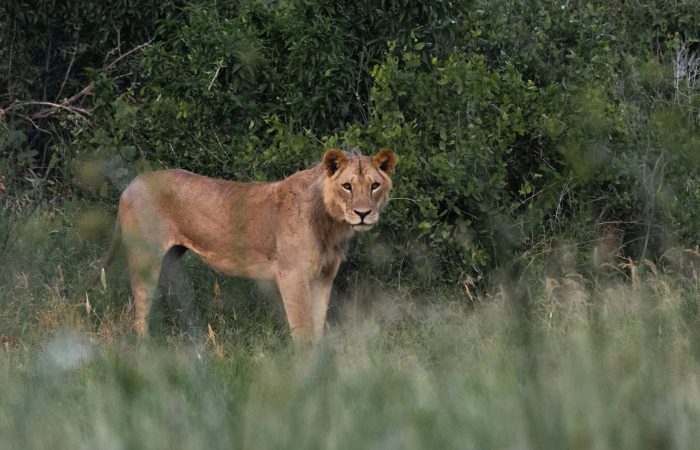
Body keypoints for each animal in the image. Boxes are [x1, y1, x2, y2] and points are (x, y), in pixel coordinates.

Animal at [96, 149, 396, 342]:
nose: (363, 214)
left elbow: (319, 323)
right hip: (145, 257)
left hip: (170, 256)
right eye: (347, 186)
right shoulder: (291, 275)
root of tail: (132, 183)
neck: (332, 225)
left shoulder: (324, 277)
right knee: (140, 308)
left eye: (374, 186)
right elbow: (302, 327)